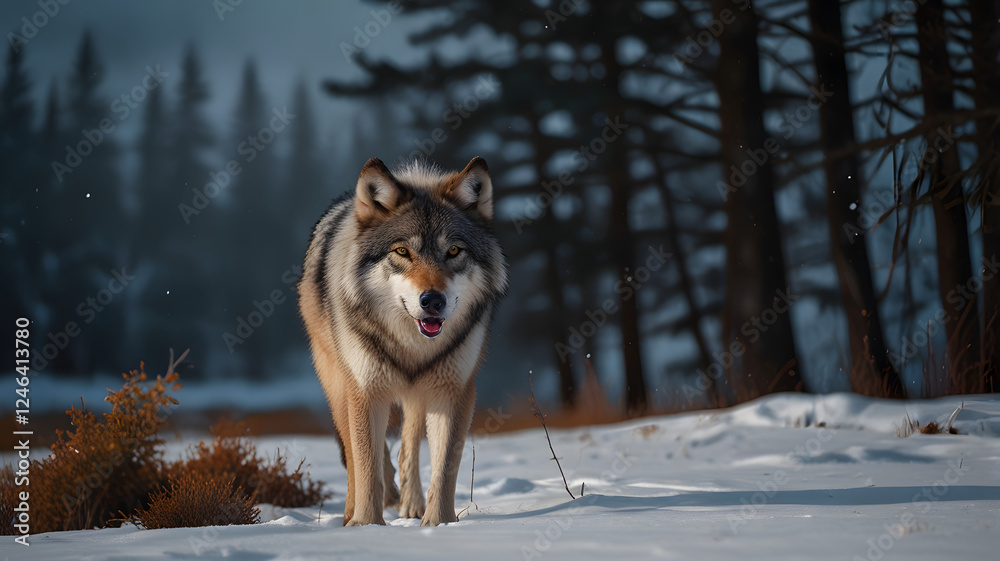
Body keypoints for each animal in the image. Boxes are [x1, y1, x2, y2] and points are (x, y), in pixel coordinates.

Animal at [298, 156, 507, 526]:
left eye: (454, 250)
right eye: (402, 251)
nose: (433, 300)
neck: (412, 347)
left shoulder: (454, 390)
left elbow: (445, 466)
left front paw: (438, 524)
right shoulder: (364, 389)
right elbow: (366, 465)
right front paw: (366, 525)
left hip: (418, 392)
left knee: (408, 443)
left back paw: (410, 503)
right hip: (338, 384)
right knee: (353, 454)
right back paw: (351, 513)